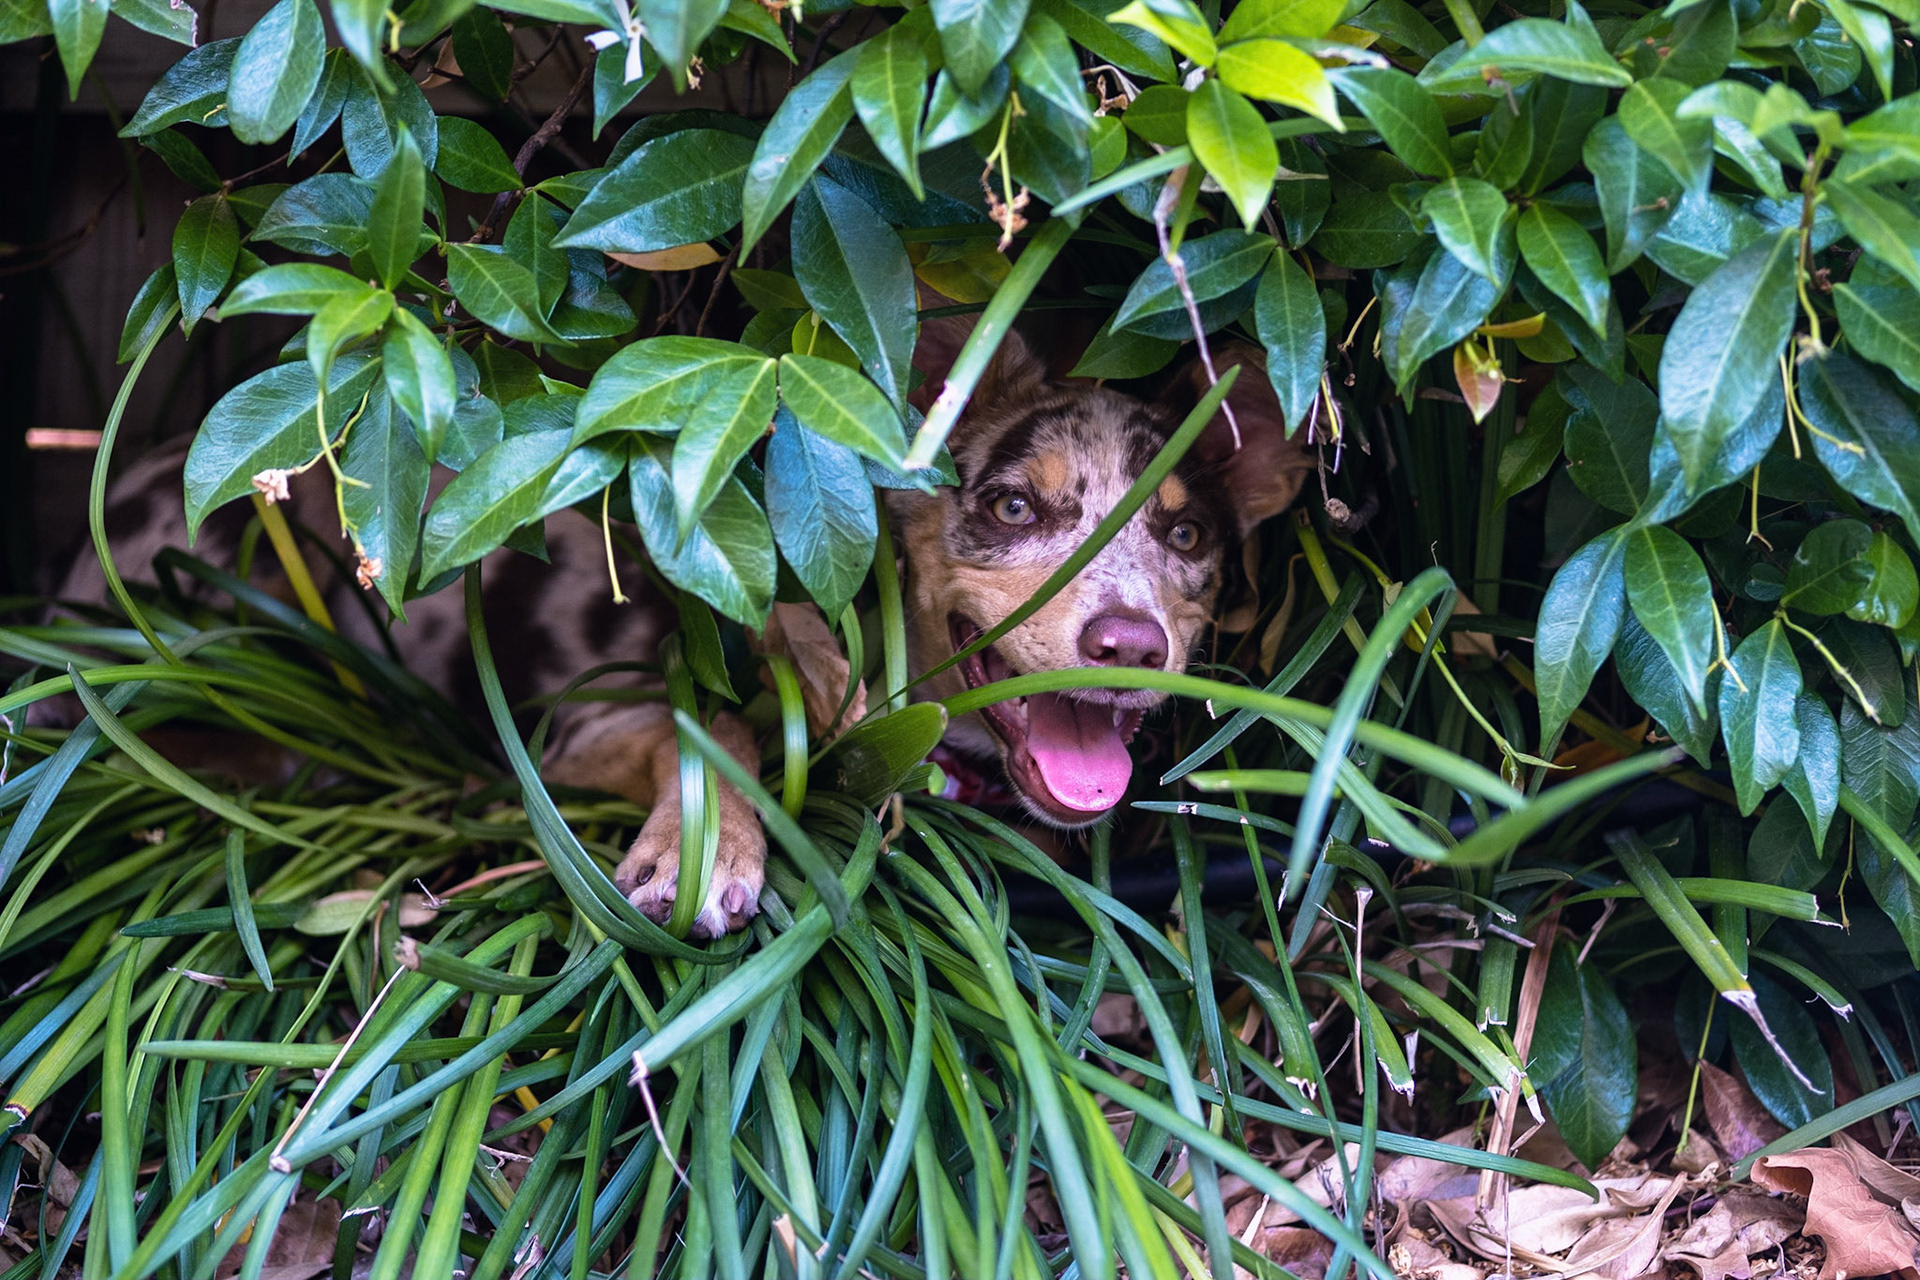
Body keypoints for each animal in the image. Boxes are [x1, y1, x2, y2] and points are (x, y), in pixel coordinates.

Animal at [51, 326, 1308, 938]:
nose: (1130, 646)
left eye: (1187, 532)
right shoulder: (585, 726)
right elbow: (719, 731)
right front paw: (699, 851)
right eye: (1010, 507)